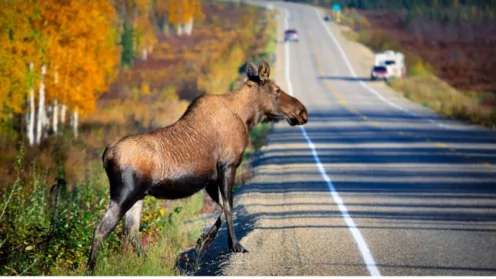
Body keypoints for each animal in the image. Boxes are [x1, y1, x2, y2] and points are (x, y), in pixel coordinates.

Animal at [87, 59, 308, 272]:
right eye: (277, 90)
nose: (302, 112)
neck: (246, 118)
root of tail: (106, 155)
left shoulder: (210, 178)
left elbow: (223, 206)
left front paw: (203, 240)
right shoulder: (228, 165)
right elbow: (229, 205)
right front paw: (235, 245)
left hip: (138, 195)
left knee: (130, 231)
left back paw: (147, 263)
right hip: (124, 194)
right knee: (101, 229)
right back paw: (91, 268)